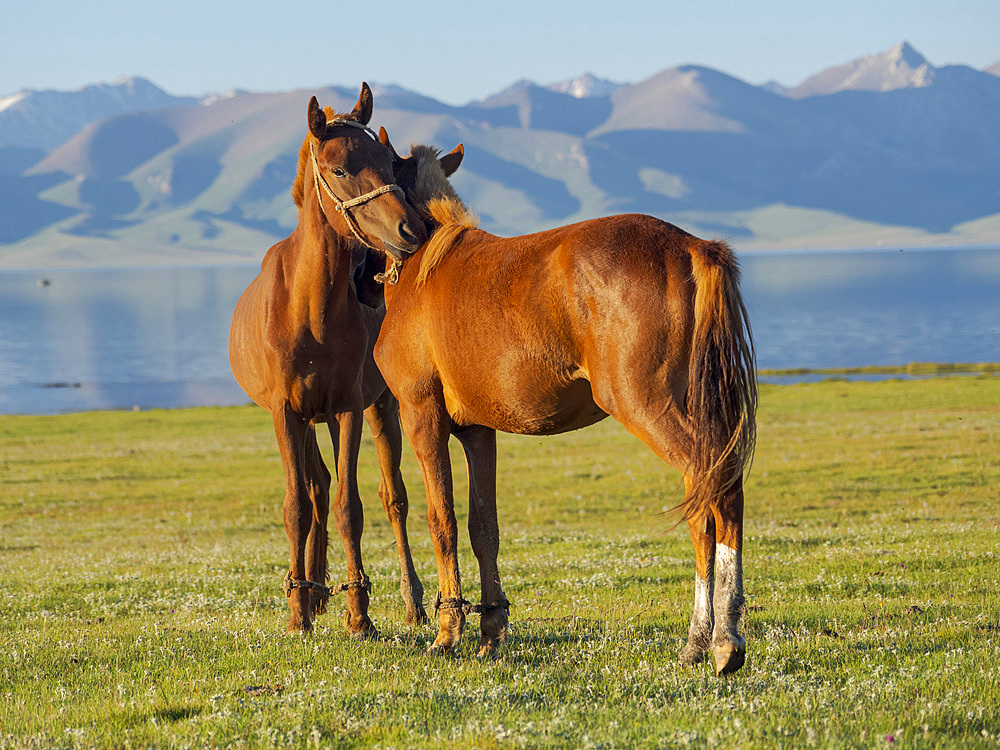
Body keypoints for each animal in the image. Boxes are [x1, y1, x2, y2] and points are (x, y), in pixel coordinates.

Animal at [230, 88, 430, 640]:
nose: (413, 228)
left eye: (389, 161)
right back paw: (312, 591)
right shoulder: (286, 412)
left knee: (392, 498)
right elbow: (298, 507)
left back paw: (409, 601)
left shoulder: (346, 408)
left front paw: (359, 613)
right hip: (305, 420)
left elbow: (349, 507)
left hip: (380, 409)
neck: (310, 308)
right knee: (314, 489)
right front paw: (299, 611)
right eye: (339, 169)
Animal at [376, 138, 756, 680]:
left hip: (649, 407)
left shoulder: (421, 416)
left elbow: (441, 520)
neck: (424, 265)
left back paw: (723, 640)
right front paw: (490, 633)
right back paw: (699, 641)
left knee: (717, 491)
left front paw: (448, 634)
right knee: (708, 502)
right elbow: (482, 527)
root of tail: (691, 247)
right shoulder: (477, 429)